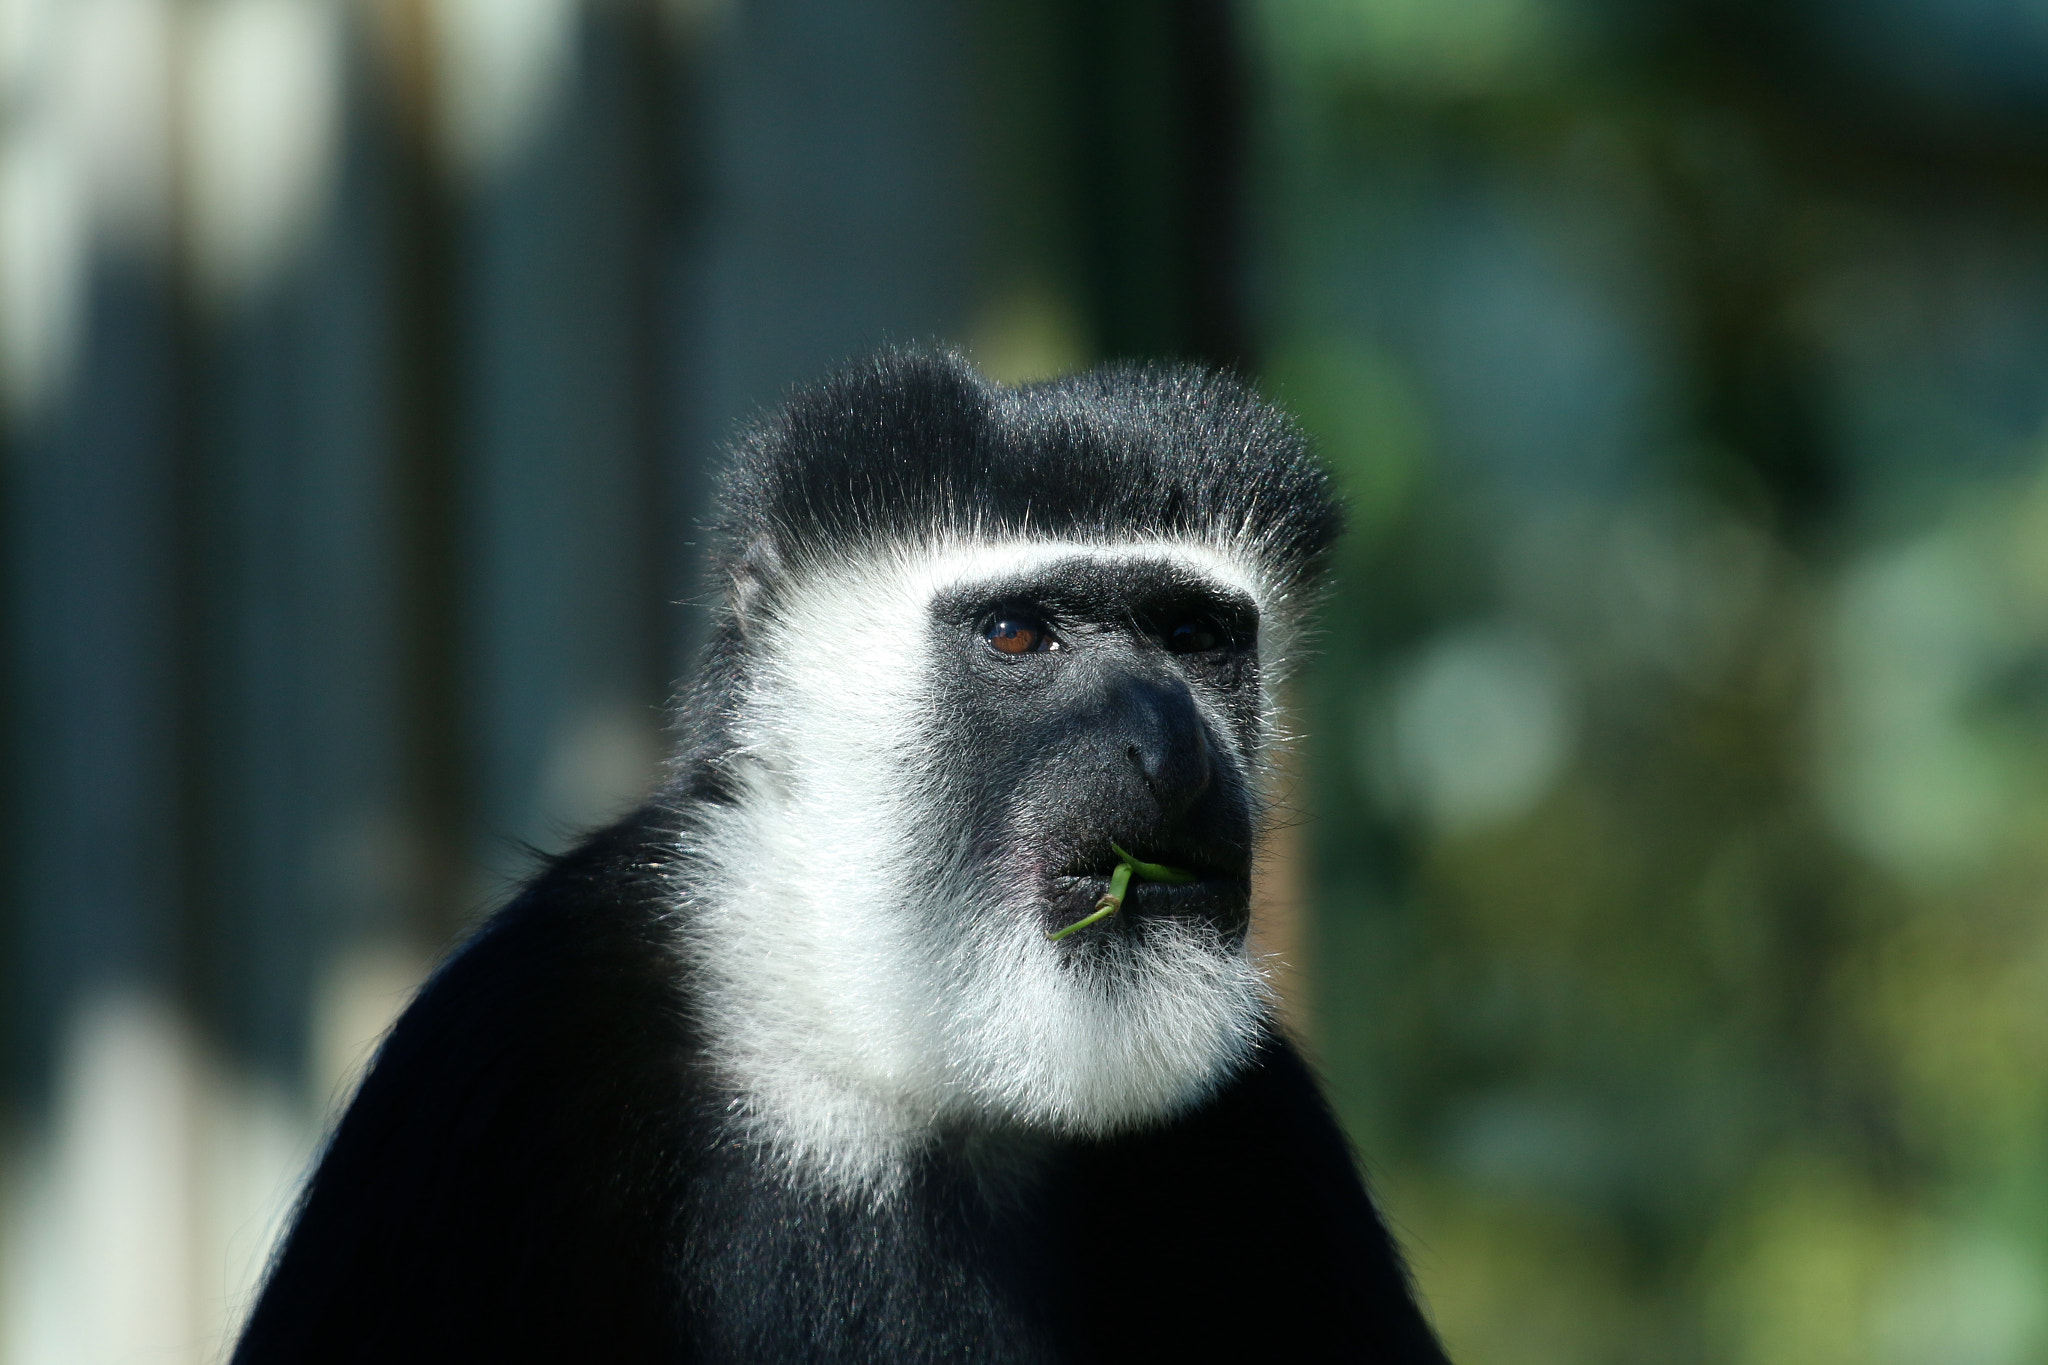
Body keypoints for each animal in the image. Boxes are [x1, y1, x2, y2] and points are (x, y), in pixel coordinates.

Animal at [232, 356, 1449, 1365]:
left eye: (1194, 639)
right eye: (1017, 635)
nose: (1172, 751)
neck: (881, 1056)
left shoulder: (1266, 1118)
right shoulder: (513, 1039)